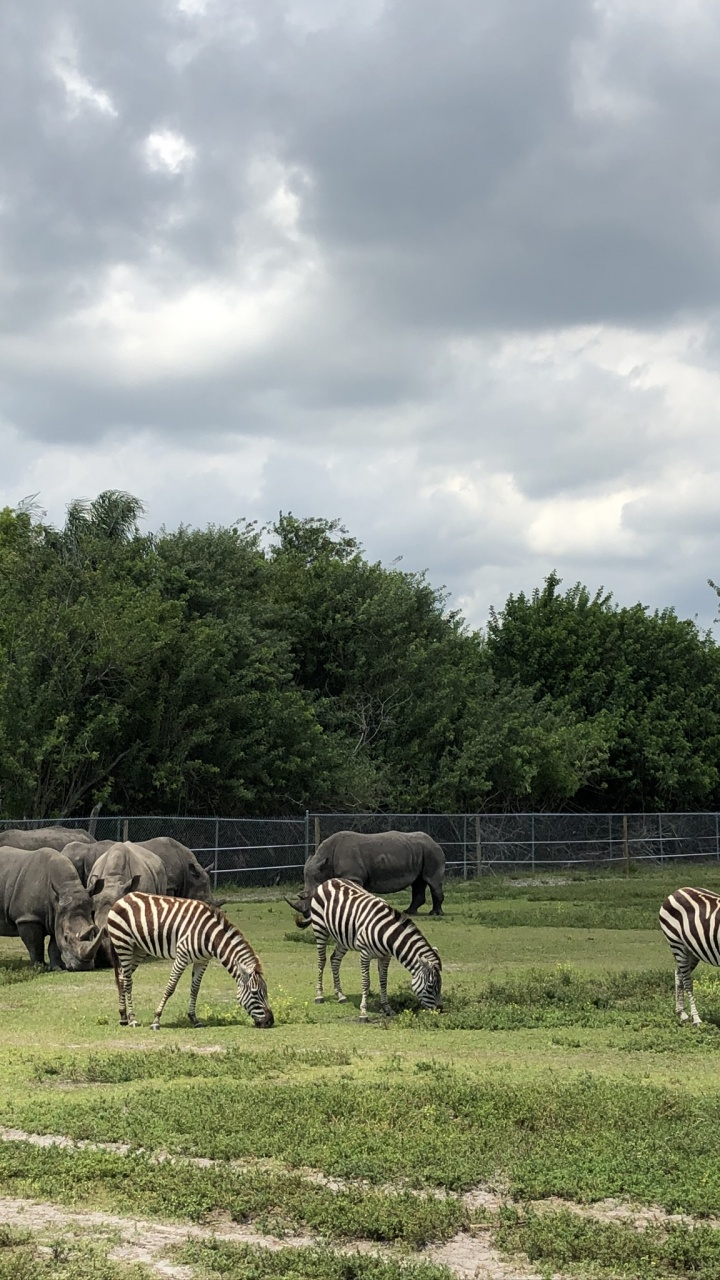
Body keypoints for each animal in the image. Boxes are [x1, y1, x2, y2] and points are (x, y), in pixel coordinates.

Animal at [106, 892, 274, 1030]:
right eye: (255, 993)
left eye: (266, 991)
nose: (270, 1021)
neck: (209, 936)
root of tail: (123, 898)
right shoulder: (182, 956)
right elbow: (170, 987)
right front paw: (156, 1020)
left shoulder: (202, 960)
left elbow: (195, 989)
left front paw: (194, 1019)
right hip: (123, 944)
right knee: (128, 981)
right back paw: (133, 1019)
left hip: (138, 949)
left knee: (121, 977)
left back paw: (123, 1017)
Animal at [286, 877, 442, 1021]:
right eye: (430, 986)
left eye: (440, 985)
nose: (440, 1010)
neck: (386, 934)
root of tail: (328, 881)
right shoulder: (365, 954)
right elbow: (366, 982)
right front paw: (363, 1013)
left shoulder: (386, 956)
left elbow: (383, 981)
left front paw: (387, 1008)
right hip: (320, 928)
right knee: (322, 960)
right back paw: (319, 995)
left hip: (344, 937)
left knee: (335, 960)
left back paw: (340, 995)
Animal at [658, 886, 720, 1024]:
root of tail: (678, 891)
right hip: (677, 943)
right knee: (687, 981)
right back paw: (696, 1018)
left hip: (691, 950)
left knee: (679, 975)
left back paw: (681, 1013)